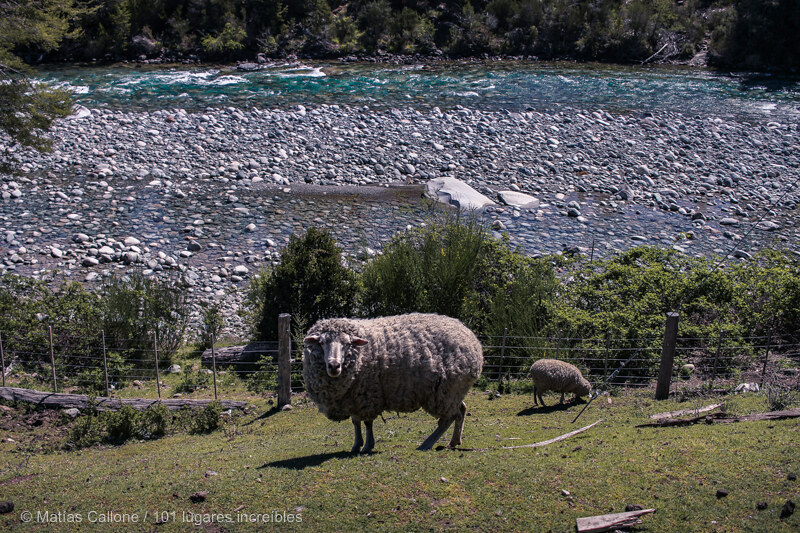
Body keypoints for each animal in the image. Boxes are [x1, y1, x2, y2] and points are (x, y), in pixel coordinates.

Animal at [304, 312, 482, 454]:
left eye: (348, 344)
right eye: (322, 342)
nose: (334, 365)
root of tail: (472, 339)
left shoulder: (368, 395)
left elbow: (367, 422)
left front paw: (367, 445)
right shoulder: (354, 398)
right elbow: (356, 422)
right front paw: (356, 445)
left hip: (445, 391)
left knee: (448, 418)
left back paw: (426, 444)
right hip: (453, 391)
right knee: (461, 410)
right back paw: (454, 441)